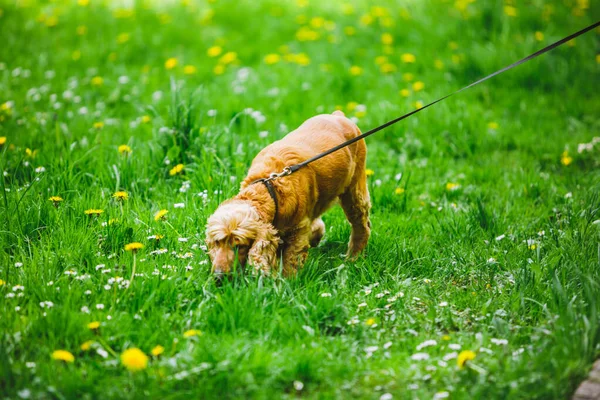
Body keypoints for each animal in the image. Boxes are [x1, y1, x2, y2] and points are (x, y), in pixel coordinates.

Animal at [209, 109, 372, 278]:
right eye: (216, 243)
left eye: (239, 246)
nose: (218, 277)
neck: (269, 189)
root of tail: (338, 115)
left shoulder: (298, 230)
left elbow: (291, 261)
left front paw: (287, 281)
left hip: (354, 189)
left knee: (361, 225)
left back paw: (353, 259)